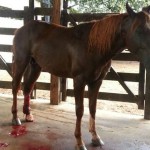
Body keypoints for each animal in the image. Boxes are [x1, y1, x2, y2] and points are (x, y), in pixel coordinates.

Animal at [11, 2, 150, 150]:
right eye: (139, 30)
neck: (92, 46)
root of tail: (21, 29)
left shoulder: (96, 82)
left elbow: (93, 108)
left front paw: (95, 138)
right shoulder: (79, 81)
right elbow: (80, 110)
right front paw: (79, 142)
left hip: (36, 66)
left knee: (27, 88)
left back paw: (28, 115)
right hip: (21, 62)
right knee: (15, 87)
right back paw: (15, 118)